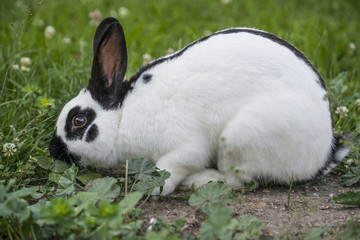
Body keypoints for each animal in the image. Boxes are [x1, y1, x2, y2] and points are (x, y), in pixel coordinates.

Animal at [48, 18, 348, 195]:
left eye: (78, 121)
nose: (53, 150)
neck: (123, 116)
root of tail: (323, 154)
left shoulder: (184, 148)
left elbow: (170, 169)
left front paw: (151, 189)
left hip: (240, 138)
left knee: (240, 180)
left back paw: (198, 181)